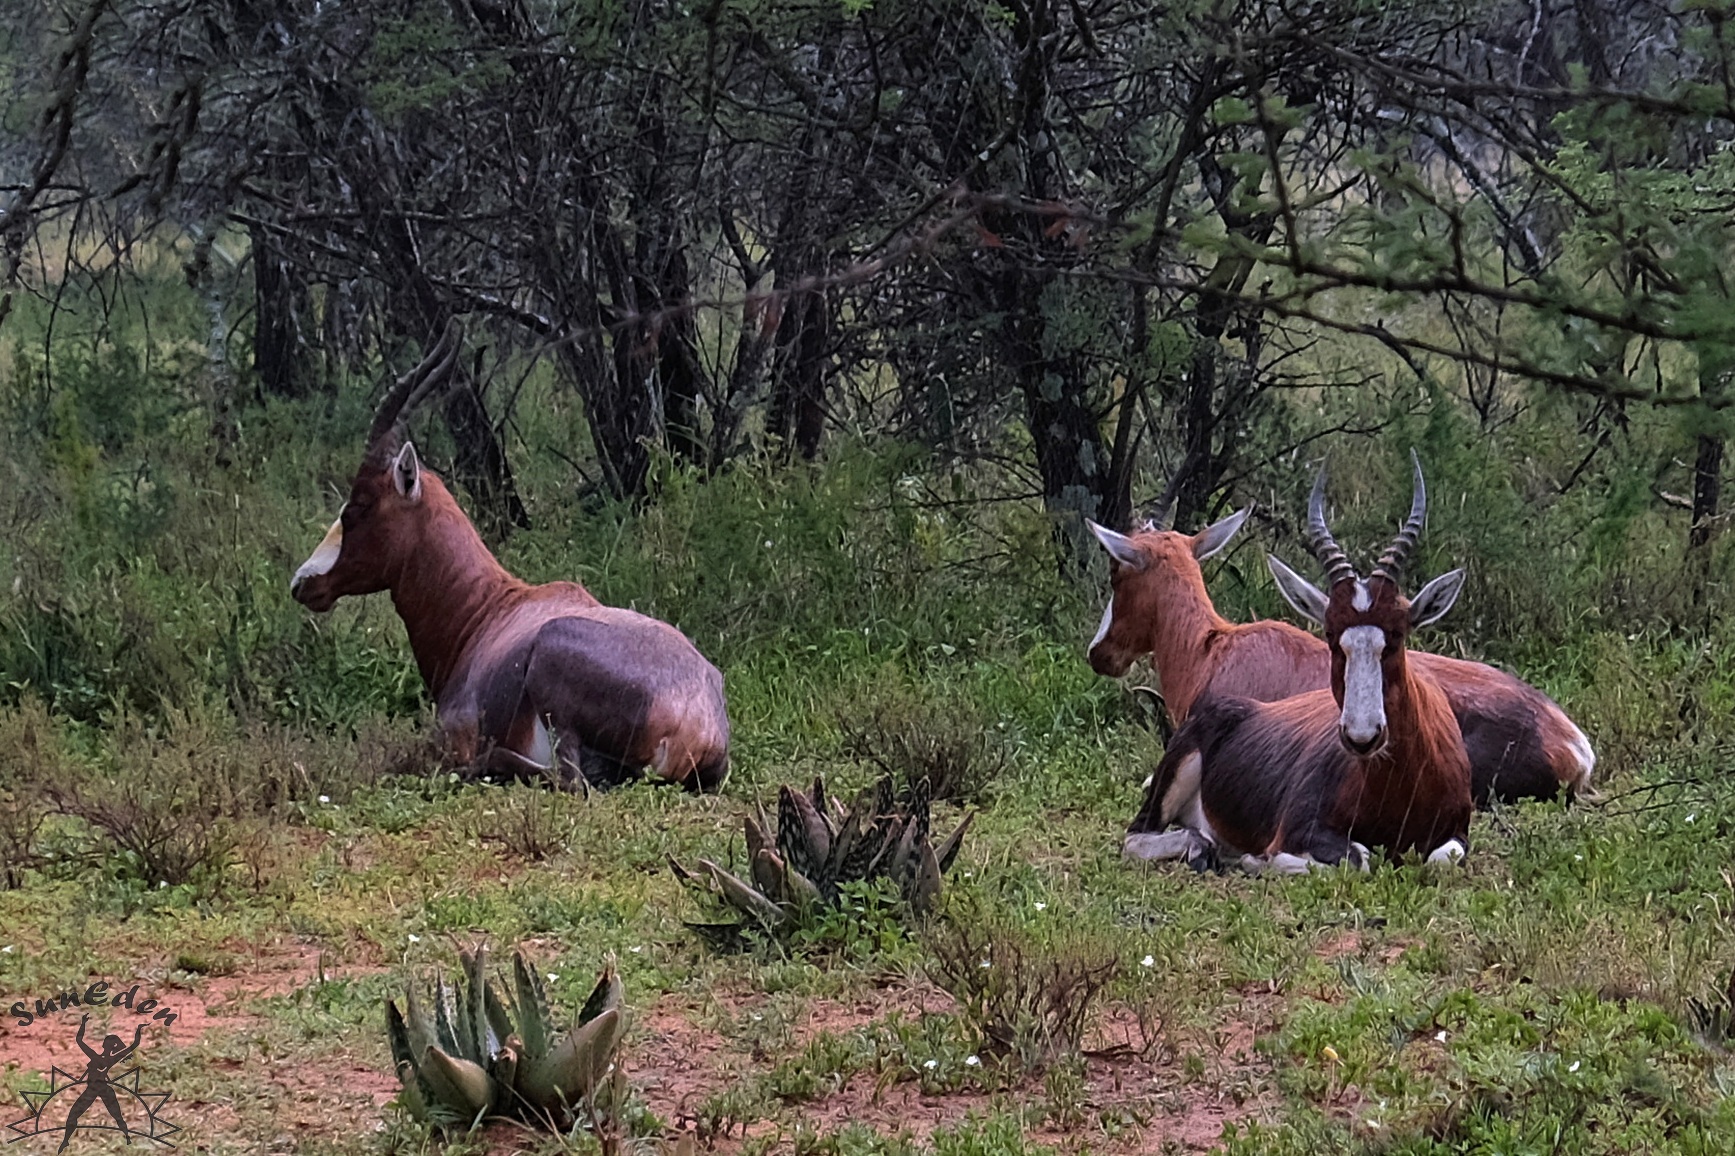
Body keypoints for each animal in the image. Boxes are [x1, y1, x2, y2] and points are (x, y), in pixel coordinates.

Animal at [291, 324, 732, 791]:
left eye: (356, 508)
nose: (303, 583)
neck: (490, 609)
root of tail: (700, 724)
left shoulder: (452, 738)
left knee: (566, 779)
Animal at [1124, 454, 1478, 867]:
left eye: (1397, 634)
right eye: (1331, 635)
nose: (1361, 737)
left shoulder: (1457, 833)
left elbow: (1441, 858)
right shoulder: (1296, 830)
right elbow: (1357, 858)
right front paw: (1256, 862)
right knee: (1139, 836)